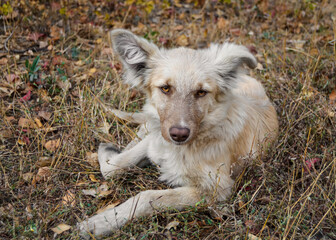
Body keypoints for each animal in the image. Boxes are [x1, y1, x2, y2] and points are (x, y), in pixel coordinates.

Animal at [78, 29, 278, 237]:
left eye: (201, 92)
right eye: (165, 88)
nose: (179, 134)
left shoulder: (216, 188)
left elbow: (147, 197)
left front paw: (102, 221)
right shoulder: (157, 139)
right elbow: (113, 167)